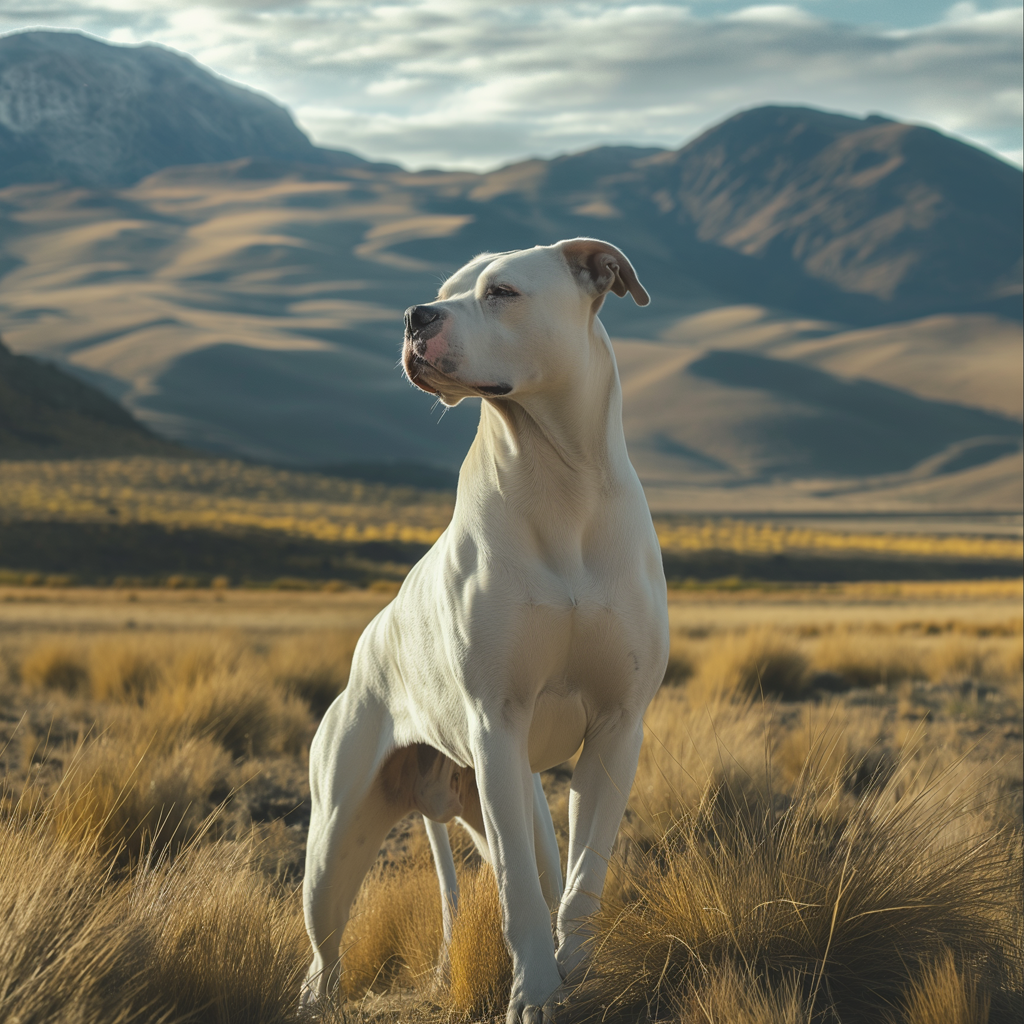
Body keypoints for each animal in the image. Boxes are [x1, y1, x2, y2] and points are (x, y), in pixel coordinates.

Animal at [301, 237, 671, 1024]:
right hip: (336, 842)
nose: (416, 315)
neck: (560, 481)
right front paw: (533, 993)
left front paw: (578, 973)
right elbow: (517, 893)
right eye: (443, 290)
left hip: (509, 800)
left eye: (501, 292)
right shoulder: (498, 723)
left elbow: (582, 879)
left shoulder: (618, 729)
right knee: (323, 955)